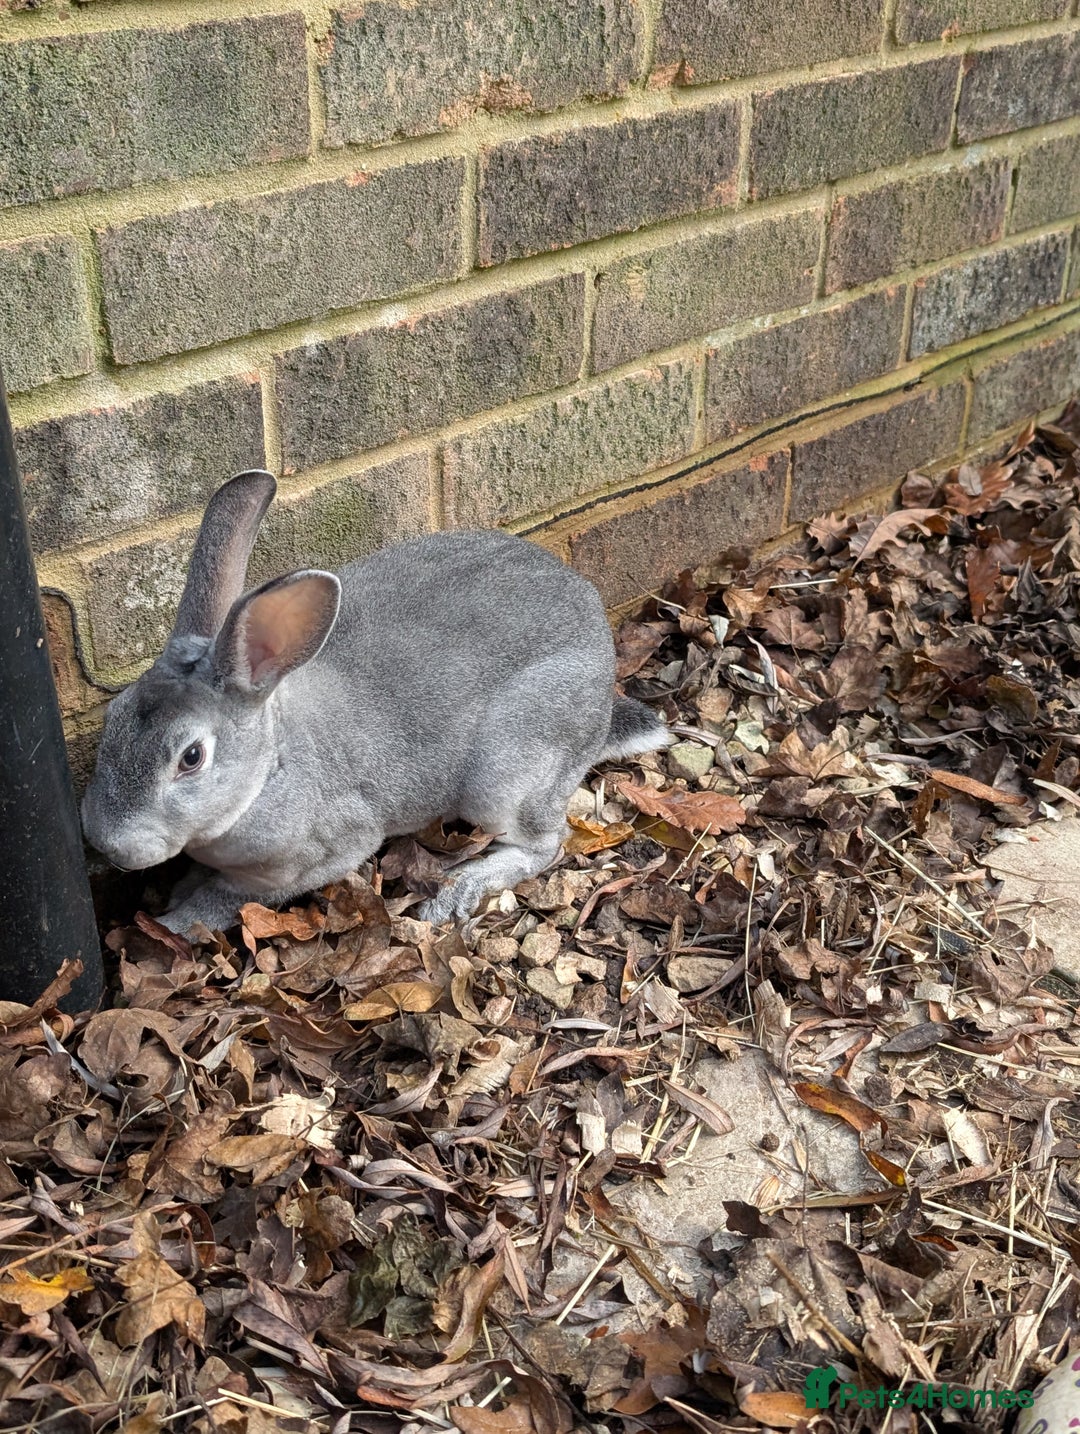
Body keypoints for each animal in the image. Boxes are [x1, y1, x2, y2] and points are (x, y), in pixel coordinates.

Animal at [82, 470, 671, 935]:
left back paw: (458, 888)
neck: (269, 768)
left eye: (191, 757)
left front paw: (176, 919)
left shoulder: (323, 853)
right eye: (114, 717)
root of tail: (602, 666)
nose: (109, 843)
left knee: (546, 844)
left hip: (509, 771)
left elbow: (229, 896)